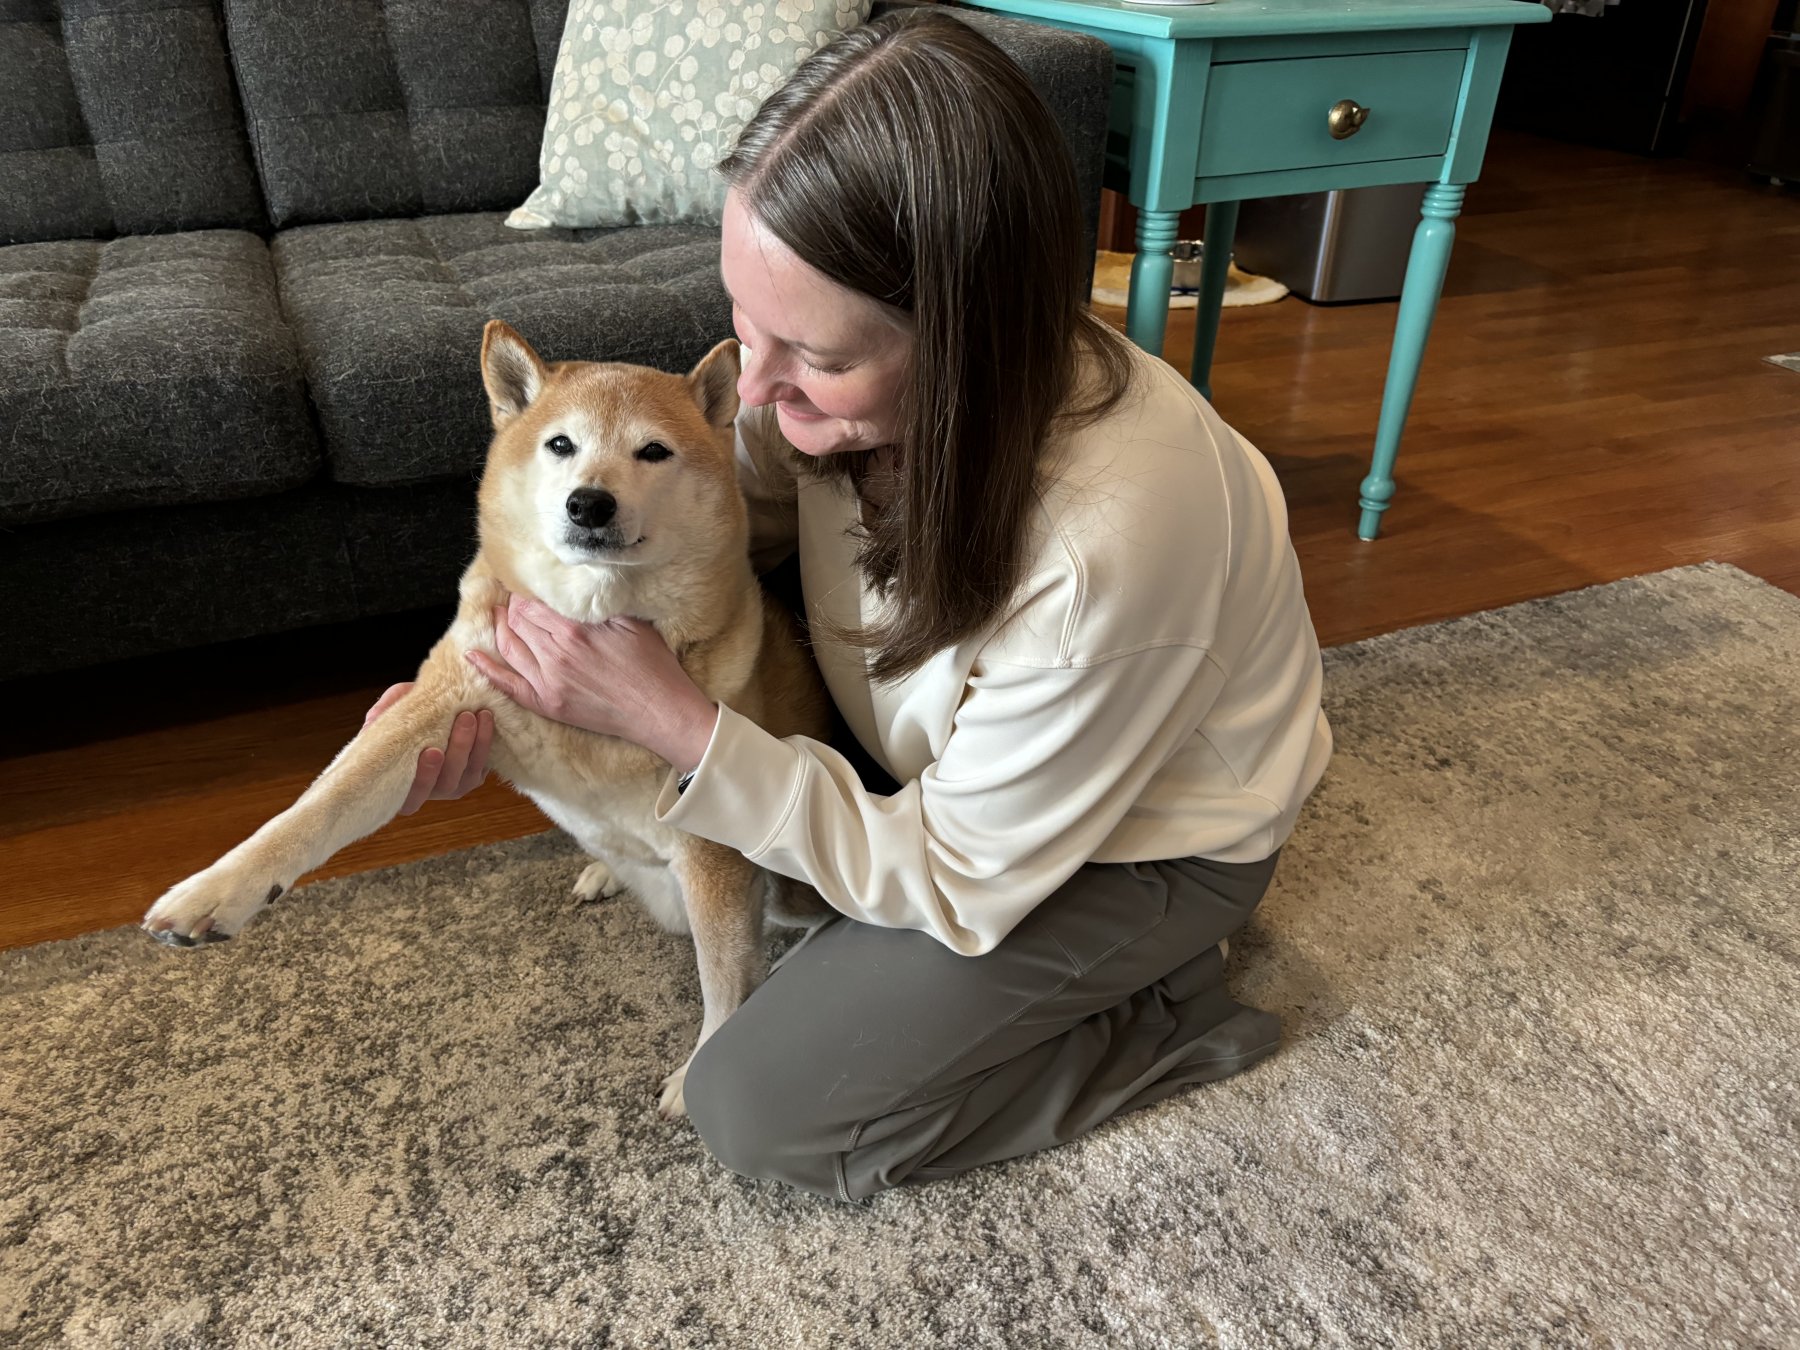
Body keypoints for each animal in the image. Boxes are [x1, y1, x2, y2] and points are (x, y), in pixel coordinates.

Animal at [145, 320, 835, 1123]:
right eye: (561, 444)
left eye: (653, 451)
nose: (589, 504)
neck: (592, 623)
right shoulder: (442, 703)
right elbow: (319, 806)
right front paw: (215, 889)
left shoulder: (712, 850)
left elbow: (724, 979)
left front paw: (699, 1069)